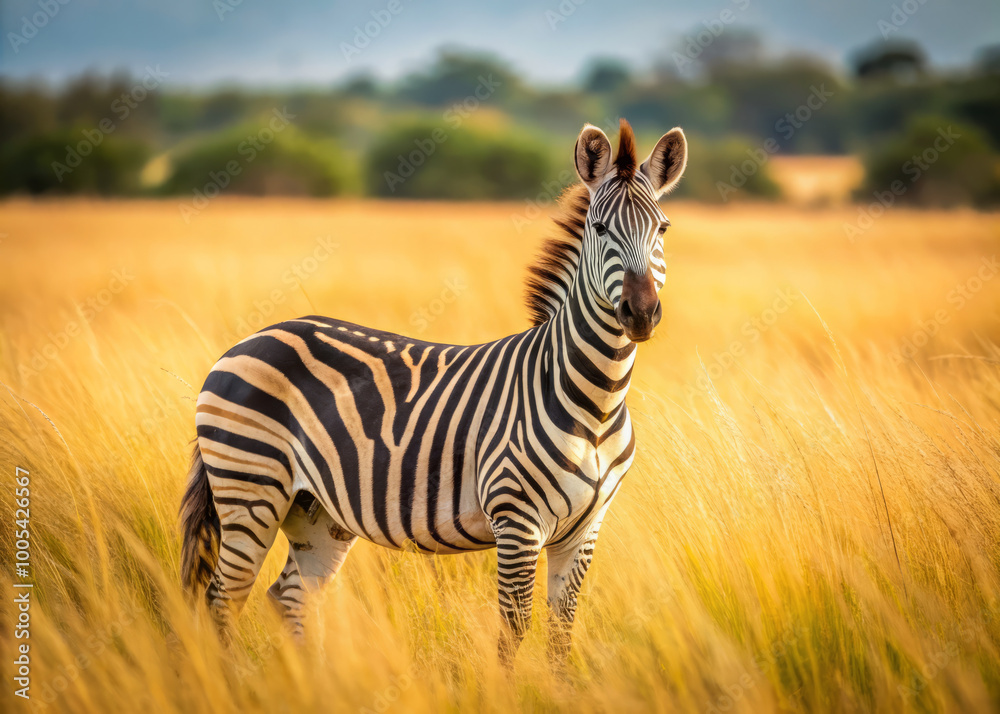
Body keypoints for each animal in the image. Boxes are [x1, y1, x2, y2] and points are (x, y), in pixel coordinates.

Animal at [180, 118, 688, 666]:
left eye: (662, 229)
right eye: (599, 229)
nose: (640, 313)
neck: (595, 404)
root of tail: (251, 339)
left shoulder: (585, 530)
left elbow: (560, 634)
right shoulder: (517, 522)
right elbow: (512, 630)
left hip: (315, 509)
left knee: (287, 597)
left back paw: (310, 680)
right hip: (250, 487)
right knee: (222, 598)